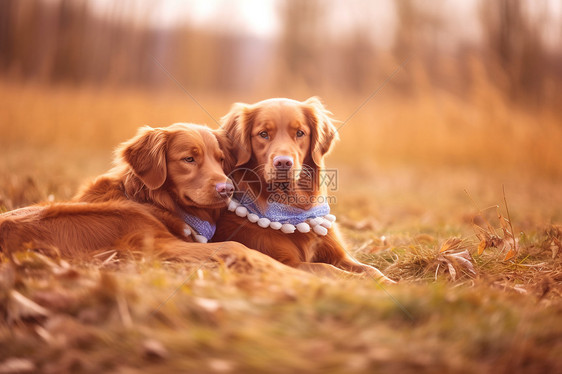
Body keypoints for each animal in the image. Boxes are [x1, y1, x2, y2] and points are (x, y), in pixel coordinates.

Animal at [213, 97, 394, 284]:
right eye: (263, 134)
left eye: (300, 133)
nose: (283, 163)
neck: (293, 208)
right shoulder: (285, 263)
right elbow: (328, 269)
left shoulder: (339, 255)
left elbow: (371, 270)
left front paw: (391, 283)